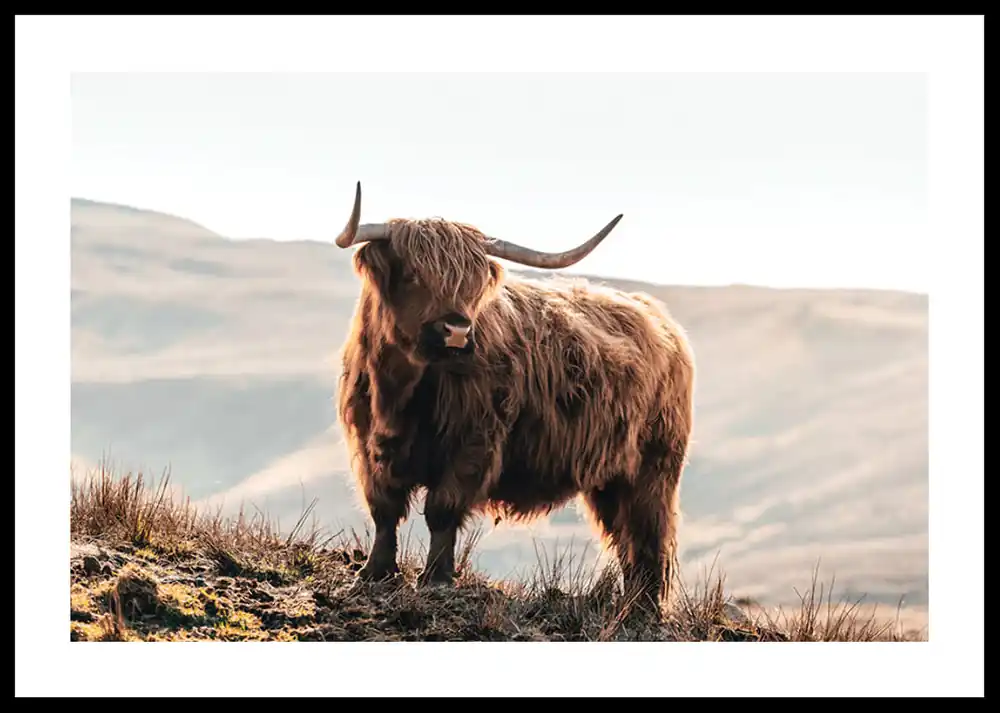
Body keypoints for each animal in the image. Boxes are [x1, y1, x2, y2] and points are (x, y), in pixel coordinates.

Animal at [334, 182, 695, 619]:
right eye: (413, 273)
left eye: (473, 283)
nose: (457, 330)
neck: (400, 392)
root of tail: (658, 317)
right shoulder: (367, 444)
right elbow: (384, 509)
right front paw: (374, 573)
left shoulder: (473, 444)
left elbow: (441, 509)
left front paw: (436, 579)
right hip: (610, 478)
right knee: (625, 536)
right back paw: (629, 607)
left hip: (653, 469)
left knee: (648, 535)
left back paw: (643, 609)